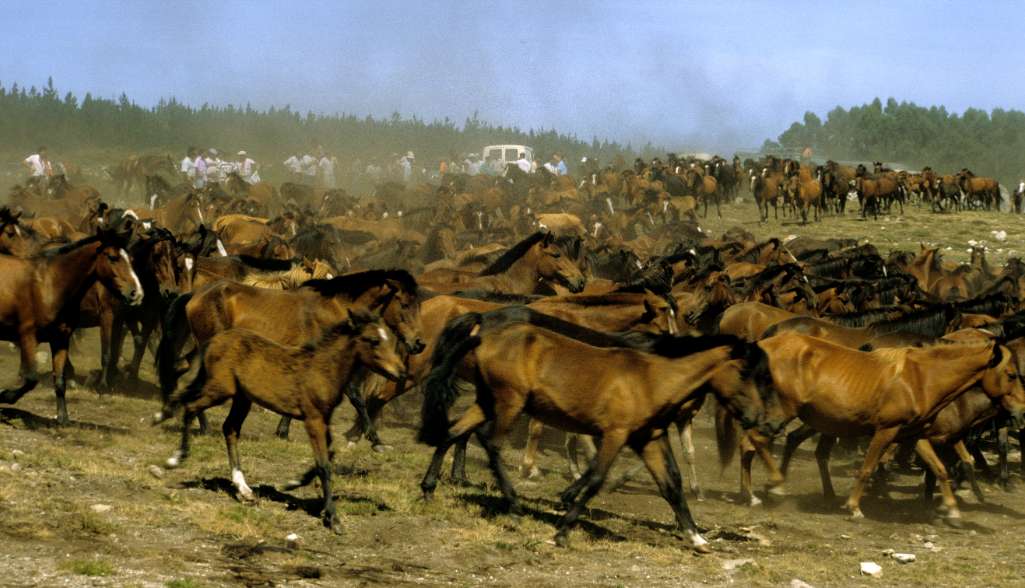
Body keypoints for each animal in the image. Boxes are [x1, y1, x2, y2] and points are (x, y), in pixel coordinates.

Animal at [0, 226, 144, 424]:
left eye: (130, 259)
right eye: (112, 257)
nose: (136, 293)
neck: (49, 285)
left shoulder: (60, 339)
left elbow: (60, 380)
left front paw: (63, 417)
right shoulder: (27, 336)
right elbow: (31, 379)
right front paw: (4, 396)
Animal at [155, 309, 405, 532]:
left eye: (388, 339)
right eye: (374, 340)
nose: (400, 372)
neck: (323, 369)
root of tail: (214, 340)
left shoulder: (324, 419)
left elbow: (329, 456)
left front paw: (292, 484)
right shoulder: (312, 418)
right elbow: (324, 465)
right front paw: (333, 519)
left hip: (242, 398)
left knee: (229, 428)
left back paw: (244, 490)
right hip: (220, 390)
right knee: (190, 407)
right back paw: (174, 458)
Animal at [417, 308, 781, 551]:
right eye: (746, 372)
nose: (760, 419)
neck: (652, 375)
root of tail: (484, 332)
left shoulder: (649, 437)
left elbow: (671, 484)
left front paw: (696, 538)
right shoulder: (616, 434)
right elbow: (596, 477)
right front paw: (563, 529)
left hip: (488, 401)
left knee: (453, 431)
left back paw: (429, 488)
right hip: (510, 402)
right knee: (490, 443)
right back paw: (515, 507)